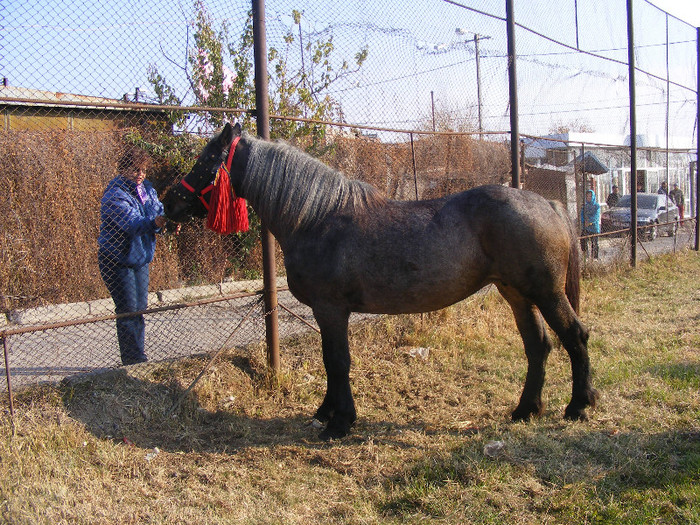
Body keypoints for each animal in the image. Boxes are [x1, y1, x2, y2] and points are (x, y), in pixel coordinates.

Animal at [163, 123, 596, 438]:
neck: (316, 218)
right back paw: (526, 410)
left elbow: (336, 361)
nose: (168, 202)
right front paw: (327, 412)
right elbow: (330, 361)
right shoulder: (325, 312)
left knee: (574, 336)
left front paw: (339, 422)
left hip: (546, 293)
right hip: (516, 293)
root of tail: (550, 204)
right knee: (538, 346)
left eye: (206, 160)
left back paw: (578, 406)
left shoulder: (331, 309)